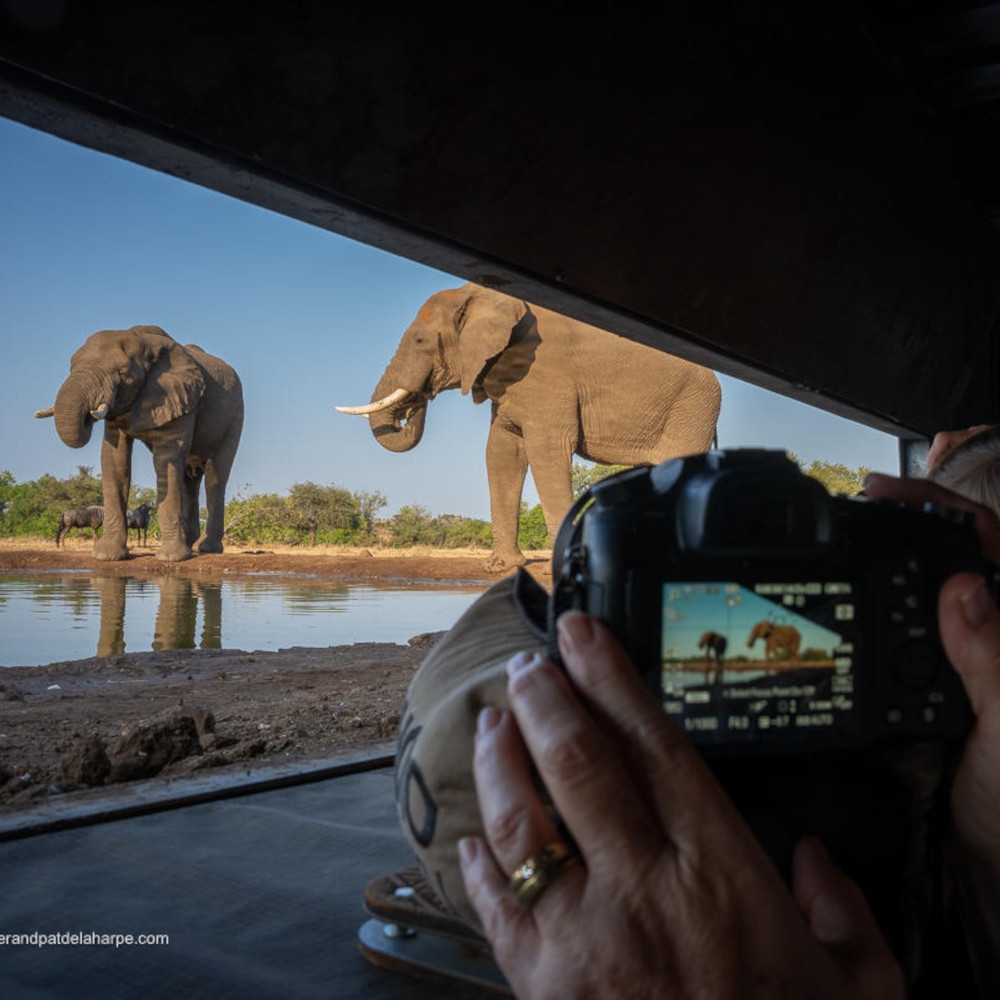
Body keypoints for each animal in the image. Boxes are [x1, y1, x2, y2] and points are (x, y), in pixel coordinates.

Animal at [36, 326, 244, 562]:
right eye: (71, 366)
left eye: (123, 375)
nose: (88, 415)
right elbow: (113, 459)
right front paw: (107, 556)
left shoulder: (184, 398)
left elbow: (165, 460)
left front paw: (170, 558)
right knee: (189, 479)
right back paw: (190, 545)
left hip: (235, 417)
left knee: (215, 478)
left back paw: (206, 549)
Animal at [337, 283, 721, 572]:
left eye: (420, 341)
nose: (418, 398)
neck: (483, 295)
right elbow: (502, 452)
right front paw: (501, 567)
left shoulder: (546, 376)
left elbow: (545, 451)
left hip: (692, 408)